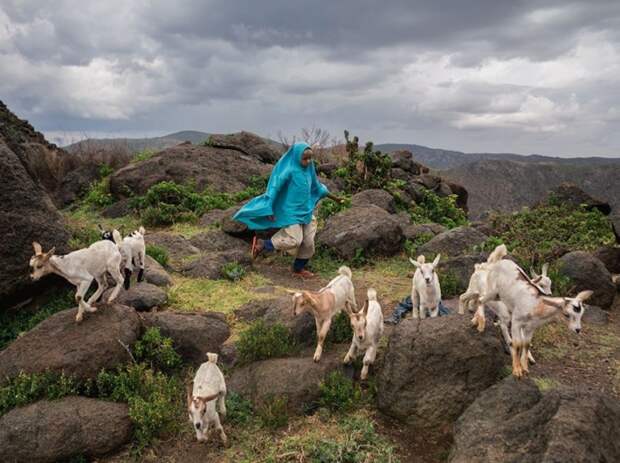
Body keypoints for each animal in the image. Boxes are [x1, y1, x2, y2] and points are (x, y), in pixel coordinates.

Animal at [470, 245, 592, 378]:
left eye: (581, 314)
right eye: (566, 314)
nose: (577, 330)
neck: (535, 304)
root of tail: (498, 262)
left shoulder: (530, 327)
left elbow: (526, 344)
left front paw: (525, 368)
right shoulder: (517, 322)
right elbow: (517, 344)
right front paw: (517, 371)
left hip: (499, 297)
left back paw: (476, 320)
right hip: (493, 291)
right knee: (481, 299)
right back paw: (479, 323)